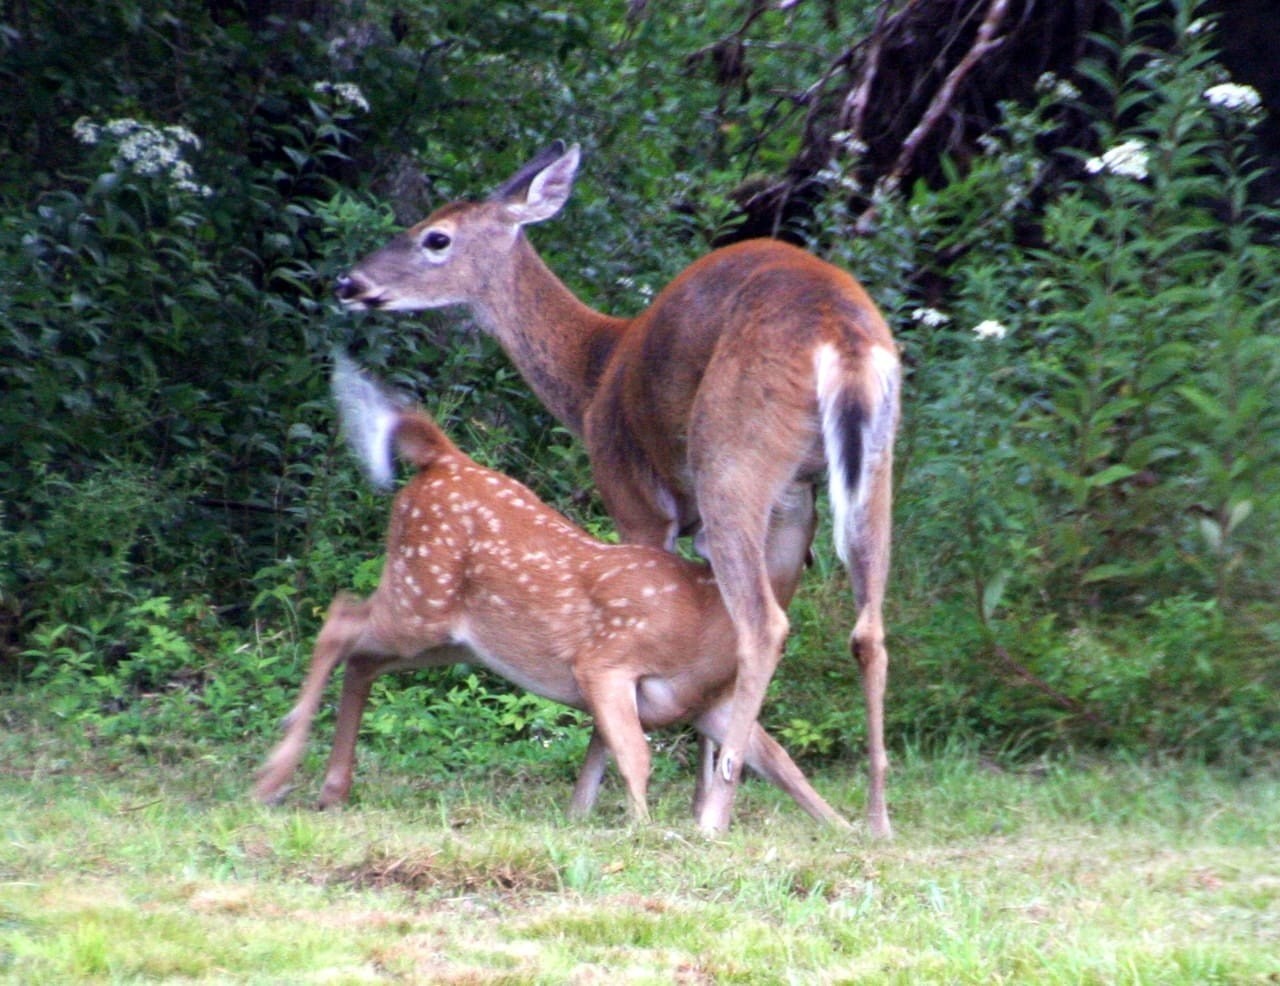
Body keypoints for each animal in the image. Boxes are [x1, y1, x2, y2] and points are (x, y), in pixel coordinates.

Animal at [254, 358, 849, 824]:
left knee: (361, 660)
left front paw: (846, 831)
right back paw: (273, 777)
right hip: (420, 594)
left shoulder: (705, 702)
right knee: (339, 621)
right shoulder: (606, 658)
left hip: (452, 636)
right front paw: (643, 830)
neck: (707, 614)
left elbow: (778, 762)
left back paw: (332, 789)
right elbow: (635, 754)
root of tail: (444, 457)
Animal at [340, 142, 901, 834]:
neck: (592, 376)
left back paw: (718, 814)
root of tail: (839, 336)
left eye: (435, 237)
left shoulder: (634, 499)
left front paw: (588, 803)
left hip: (733, 457)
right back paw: (876, 820)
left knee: (764, 624)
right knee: (869, 630)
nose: (349, 283)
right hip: (865, 470)